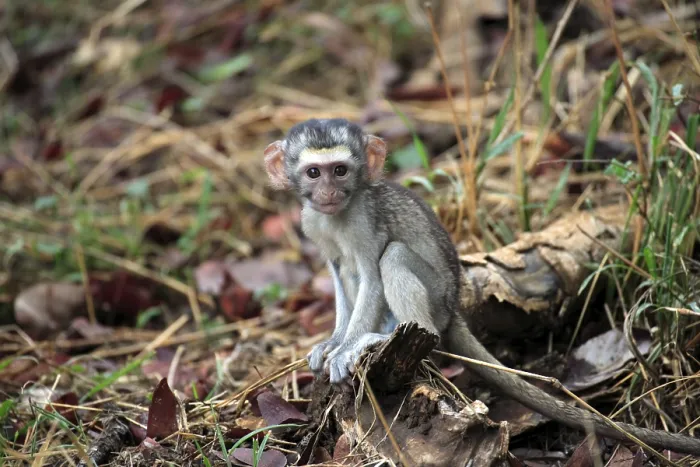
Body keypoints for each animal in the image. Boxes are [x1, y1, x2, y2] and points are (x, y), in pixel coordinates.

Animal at [263, 118, 700, 455]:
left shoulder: (361, 220)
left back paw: (382, 337)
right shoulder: (313, 222)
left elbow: (372, 272)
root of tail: (454, 304)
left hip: (437, 298)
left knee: (396, 258)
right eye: (314, 173)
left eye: (339, 170)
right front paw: (332, 342)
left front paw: (347, 347)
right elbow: (340, 274)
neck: (338, 214)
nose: (328, 193)